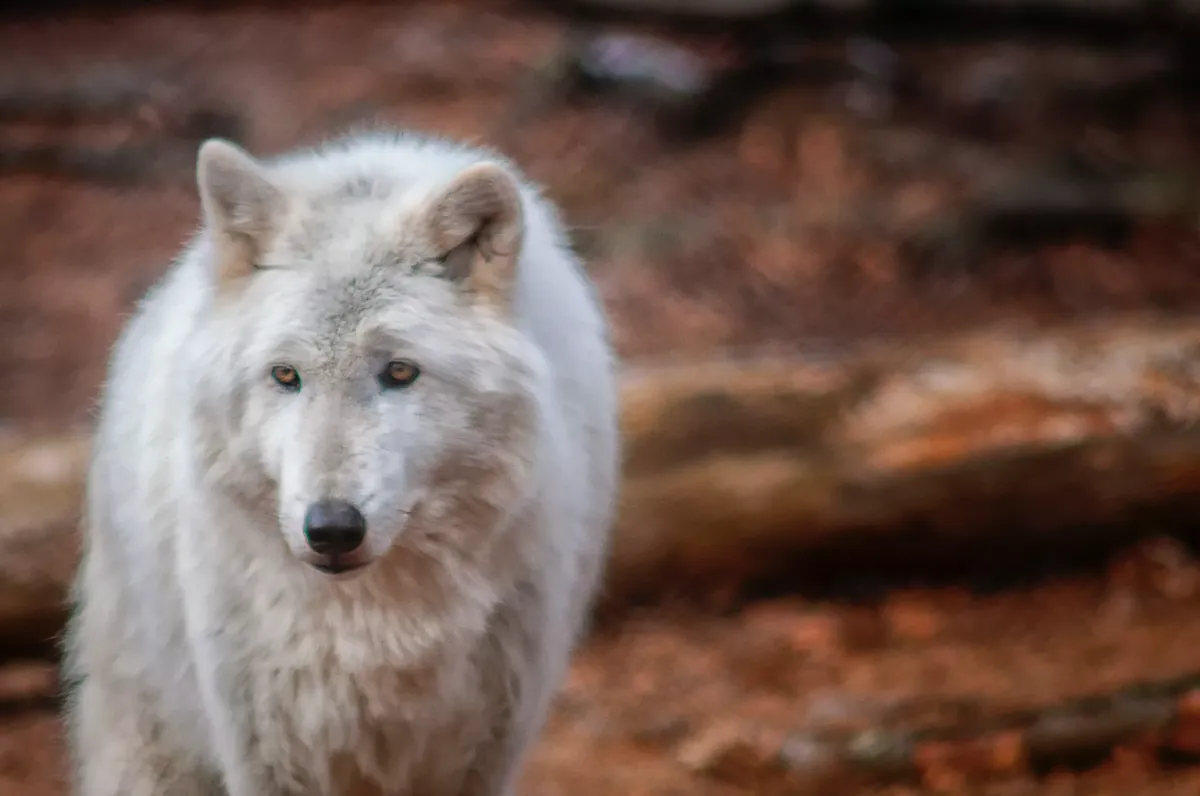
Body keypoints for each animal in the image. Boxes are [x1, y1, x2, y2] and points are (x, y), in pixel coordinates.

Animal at [61, 130, 620, 796]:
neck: (375, 627)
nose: (331, 529)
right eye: (286, 375)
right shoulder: (266, 754)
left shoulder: (481, 755)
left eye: (399, 372)